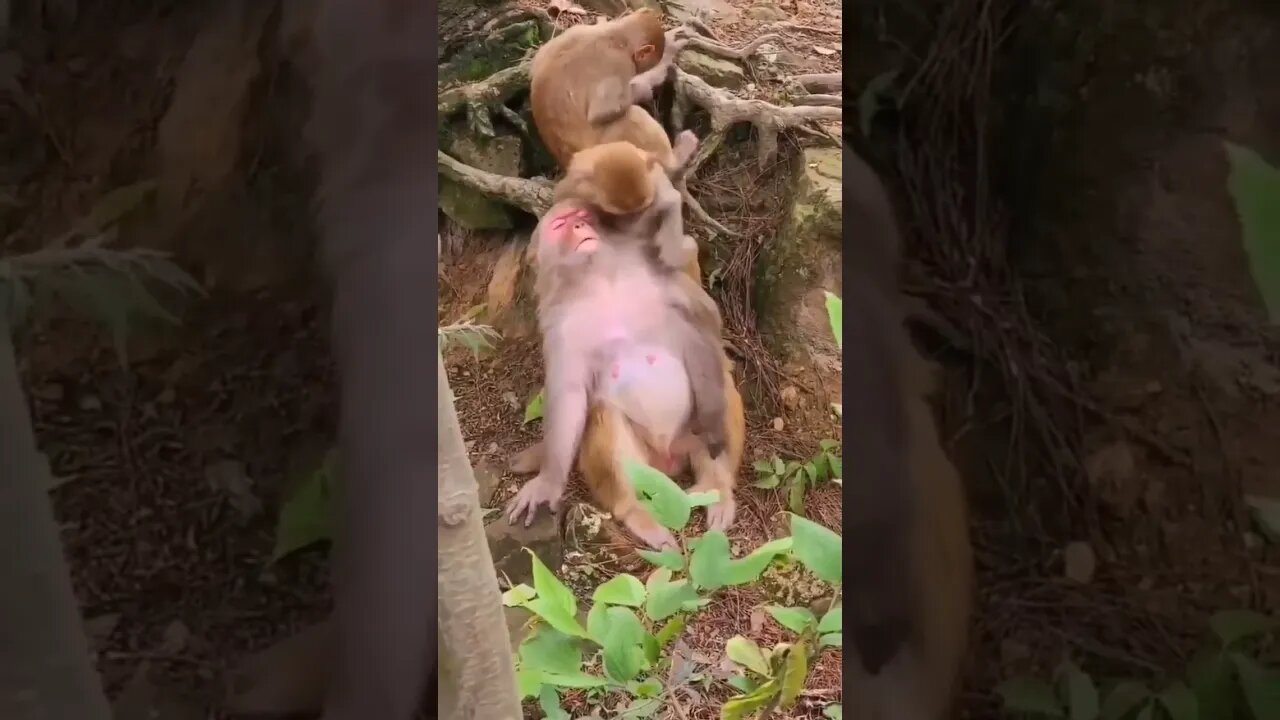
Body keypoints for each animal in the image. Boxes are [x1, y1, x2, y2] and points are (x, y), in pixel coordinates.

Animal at [506, 200, 745, 549]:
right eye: (561, 224)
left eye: (582, 217)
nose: (580, 227)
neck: (599, 281)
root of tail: (669, 458)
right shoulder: (558, 324)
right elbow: (571, 395)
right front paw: (548, 482)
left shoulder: (660, 278)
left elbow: (701, 332)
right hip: (645, 464)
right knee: (603, 412)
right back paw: (633, 511)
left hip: (690, 437)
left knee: (721, 384)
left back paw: (718, 487)